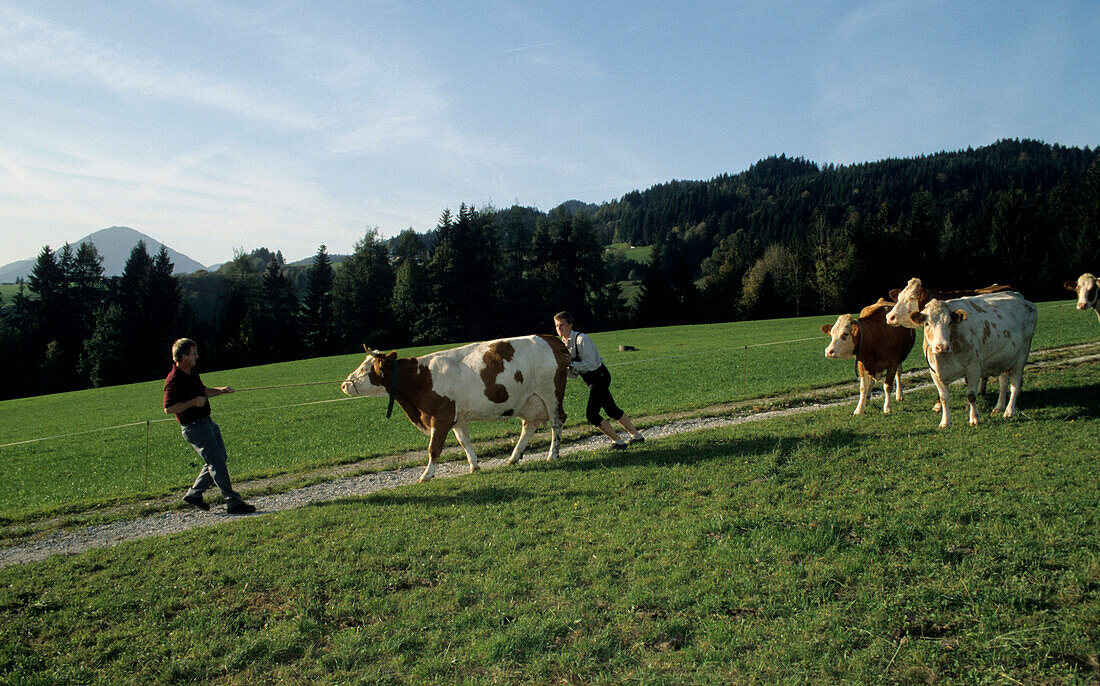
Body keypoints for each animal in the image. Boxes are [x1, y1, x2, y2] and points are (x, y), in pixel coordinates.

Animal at [341, 334, 567, 479]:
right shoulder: (456, 418)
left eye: (364, 369)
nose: (344, 385)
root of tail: (550, 338)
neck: (422, 377)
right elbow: (464, 442)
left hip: (550, 395)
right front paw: (474, 465)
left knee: (557, 422)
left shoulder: (440, 418)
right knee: (529, 426)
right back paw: (513, 457)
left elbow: (434, 448)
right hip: (528, 401)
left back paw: (552, 455)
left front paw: (426, 474)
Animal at [906, 290, 1034, 428]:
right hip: (1003, 359)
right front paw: (945, 422)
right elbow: (944, 398)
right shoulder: (934, 373)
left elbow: (971, 395)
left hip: (1022, 355)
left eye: (949, 322)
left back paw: (1009, 411)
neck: (944, 359)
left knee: (1015, 384)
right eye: (927, 323)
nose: (942, 347)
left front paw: (974, 418)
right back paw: (999, 407)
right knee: (1004, 383)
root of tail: (1019, 296)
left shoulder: (973, 368)